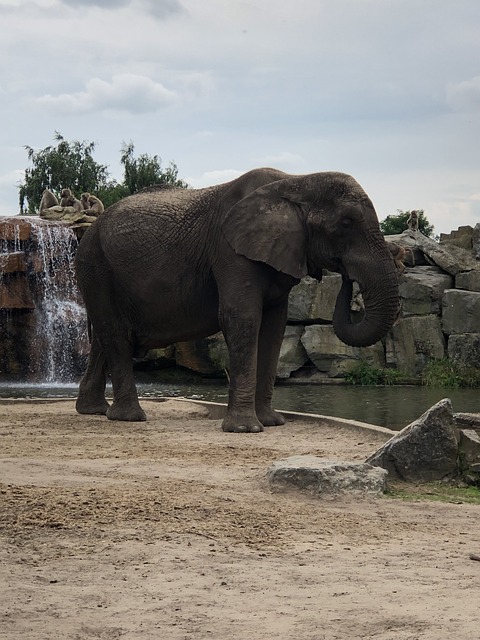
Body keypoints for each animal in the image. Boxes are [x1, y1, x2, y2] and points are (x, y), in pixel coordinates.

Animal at [74, 168, 398, 432]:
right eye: (346, 223)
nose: (347, 277)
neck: (296, 181)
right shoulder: (229, 250)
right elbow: (242, 319)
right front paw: (245, 429)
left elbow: (274, 328)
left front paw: (272, 423)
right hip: (95, 267)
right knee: (115, 335)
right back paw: (129, 417)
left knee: (104, 338)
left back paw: (94, 410)